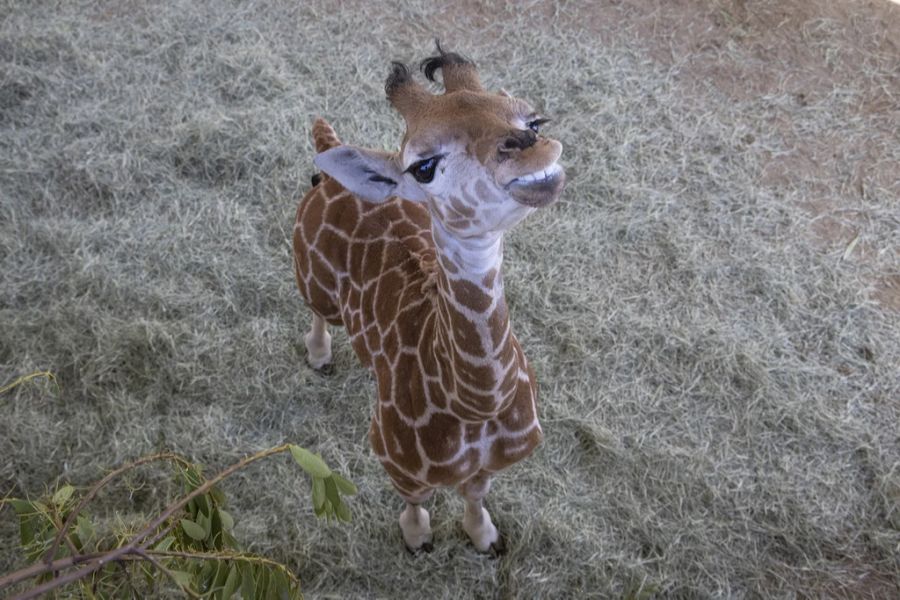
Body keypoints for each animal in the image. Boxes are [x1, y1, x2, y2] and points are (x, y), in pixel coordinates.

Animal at [292, 44, 568, 556]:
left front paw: (485, 538)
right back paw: (320, 358)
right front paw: (418, 539)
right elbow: (416, 501)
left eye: (534, 121)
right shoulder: (395, 458)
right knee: (317, 314)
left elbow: (475, 494)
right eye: (423, 166)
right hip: (311, 279)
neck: (476, 406)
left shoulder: (494, 464)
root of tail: (326, 157)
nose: (531, 148)